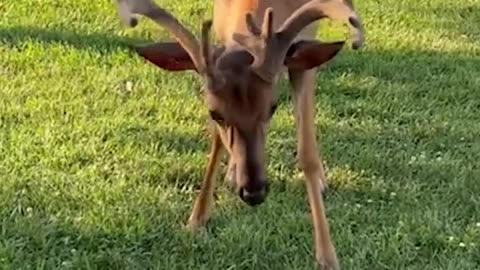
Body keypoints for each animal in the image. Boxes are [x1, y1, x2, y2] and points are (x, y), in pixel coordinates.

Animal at [115, 0, 364, 268]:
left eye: (272, 107)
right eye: (215, 114)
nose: (253, 192)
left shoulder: (300, 62)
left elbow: (306, 151)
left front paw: (327, 255)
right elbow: (216, 144)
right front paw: (196, 218)